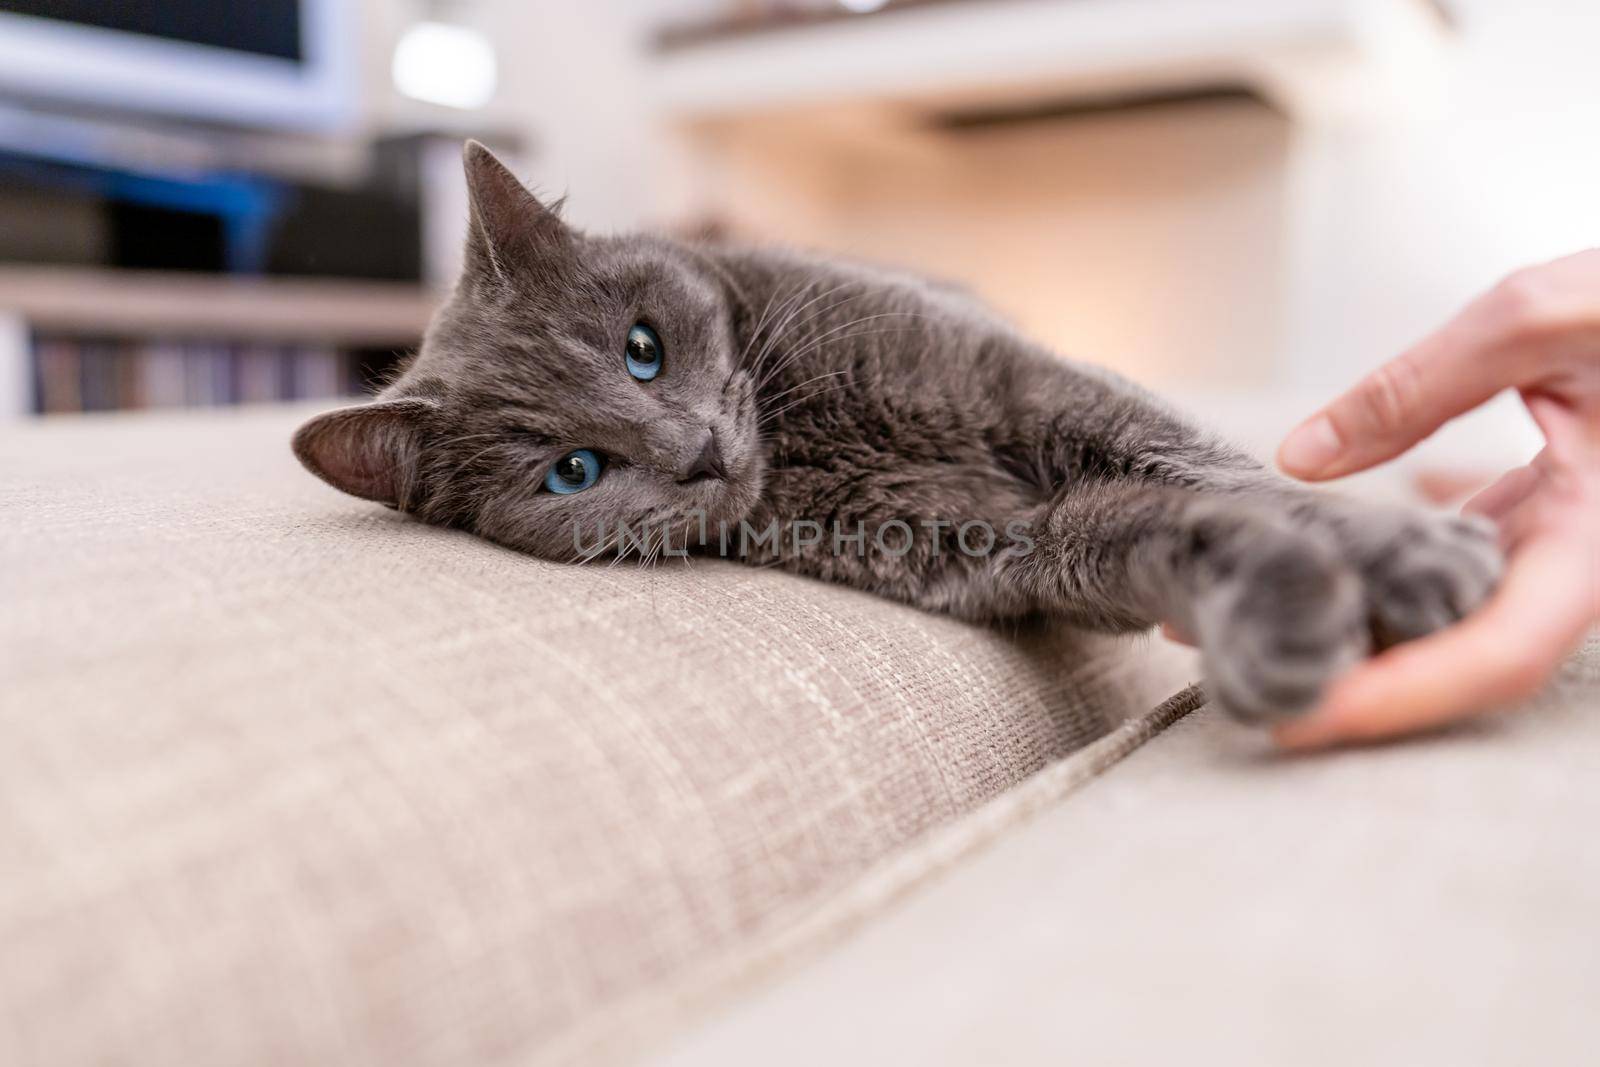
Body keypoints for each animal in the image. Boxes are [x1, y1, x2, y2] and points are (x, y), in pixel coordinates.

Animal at [294, 143, 1504, 726]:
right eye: (572, 472)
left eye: (642, 347)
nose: (697, 452)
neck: (804, 431)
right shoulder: (1015, 545)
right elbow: (1165, 530)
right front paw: (1287, 614)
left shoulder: (1035, 386)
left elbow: (1222, 468)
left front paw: (1407, 552)